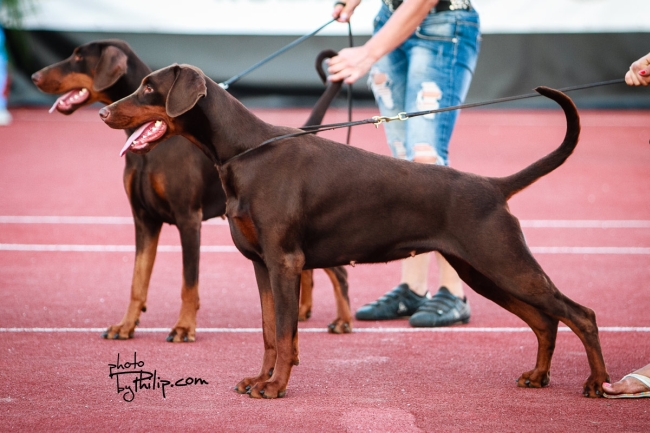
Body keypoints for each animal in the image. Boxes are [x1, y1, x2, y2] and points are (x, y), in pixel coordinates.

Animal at [31, 41, 352, 341]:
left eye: (78, 57)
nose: (103, 113)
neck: (153, 153)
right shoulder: (143, 219)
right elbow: (138, 279)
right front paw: (125, 325)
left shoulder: (188, 219)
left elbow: (189, 282)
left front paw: (184, 327)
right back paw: (303, 310)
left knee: (339, 271)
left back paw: (343, 320)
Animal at [98, 63, 609, 399]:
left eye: (148, 87)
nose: (103, 116)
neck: (244, 151)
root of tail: (493, 185)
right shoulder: (263, 265)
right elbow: (269, 331)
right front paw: (259, 379)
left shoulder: (285, 262)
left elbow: (286, 333)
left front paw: (276, 386)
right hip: (483, 271)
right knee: (545, 319)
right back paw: (537, 377)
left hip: (503, 261)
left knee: (580, 314)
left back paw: (596, 383)